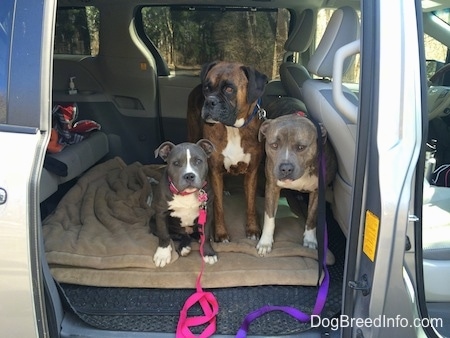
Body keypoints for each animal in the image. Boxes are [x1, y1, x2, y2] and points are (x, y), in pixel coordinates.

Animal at [186, 60, 268, 243]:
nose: (209, 101)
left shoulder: (252, 173)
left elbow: (251, 204)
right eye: (207, 88)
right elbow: (218, 206)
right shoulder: (215, 171)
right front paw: (221, 233)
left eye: (229, 89)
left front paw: (253, 229)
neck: (233, 129)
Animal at [256, 99, 338, 255]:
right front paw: (265, 242)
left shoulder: (318, 192)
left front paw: (310, 240)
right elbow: (269, 217)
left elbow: (311, 218)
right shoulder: (272, 187)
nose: (285, 168)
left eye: (301, 147)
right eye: (274, 145)